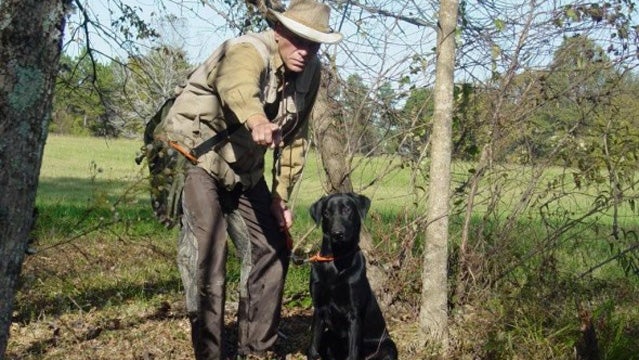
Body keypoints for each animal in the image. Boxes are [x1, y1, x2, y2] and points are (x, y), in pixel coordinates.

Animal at [308, 194, 398, 360]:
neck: (337, 261)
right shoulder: (319, 308)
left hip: (389, 347)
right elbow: (312, 349)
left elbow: (352, 354)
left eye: (347, 209)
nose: (337, 234)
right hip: (328, 337)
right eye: (326, 213)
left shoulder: (354, 314)